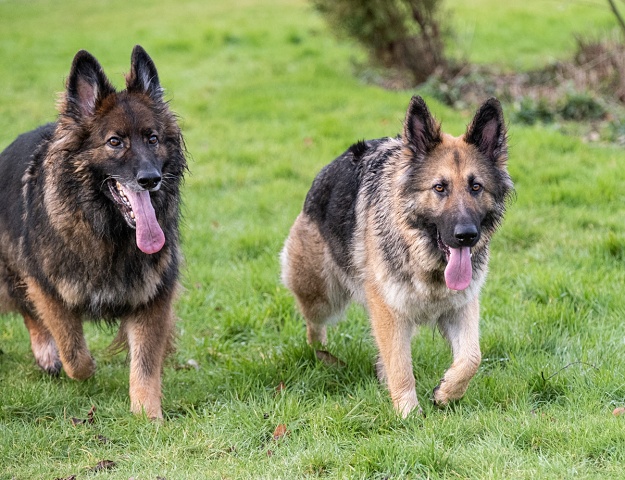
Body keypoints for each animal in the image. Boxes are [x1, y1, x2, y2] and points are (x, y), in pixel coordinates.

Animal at [0, 45, 187, 419]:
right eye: (115, 142)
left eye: (153, 138)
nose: (150, 179)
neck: (109, 232)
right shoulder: (46, 285)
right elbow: (75, 354)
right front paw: (79, 367)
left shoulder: (153, 294)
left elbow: (145, 363)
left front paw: (148, 415)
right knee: (25, 307)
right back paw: (46, 352)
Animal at [281, 96, 513, 417]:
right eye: (439, 188)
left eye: (476, 187)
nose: (466, 235)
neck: (422, 257)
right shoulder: (389, 309)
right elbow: (401, 366)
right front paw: (408, 414)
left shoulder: (460, 306)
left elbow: (471, 357)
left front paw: (447, 392)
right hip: (321, 296)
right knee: (314, 326)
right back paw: (320, 355)